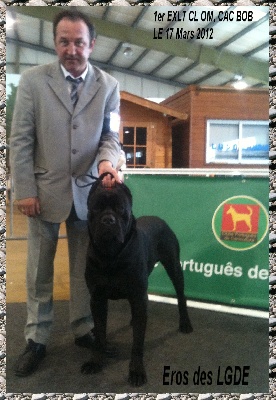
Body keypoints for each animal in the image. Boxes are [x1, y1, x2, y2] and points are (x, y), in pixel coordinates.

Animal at [82, 174, 192, 384]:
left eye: (120, 209)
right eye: (96, 208)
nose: (108, 220)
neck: (110, 255)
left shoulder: (138, 296)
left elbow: (137, 342)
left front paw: (136, 371)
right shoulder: (97, 299)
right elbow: (99, 332)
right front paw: (95, 361)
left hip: (173, 266)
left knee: (181, 295)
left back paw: (185, 324)